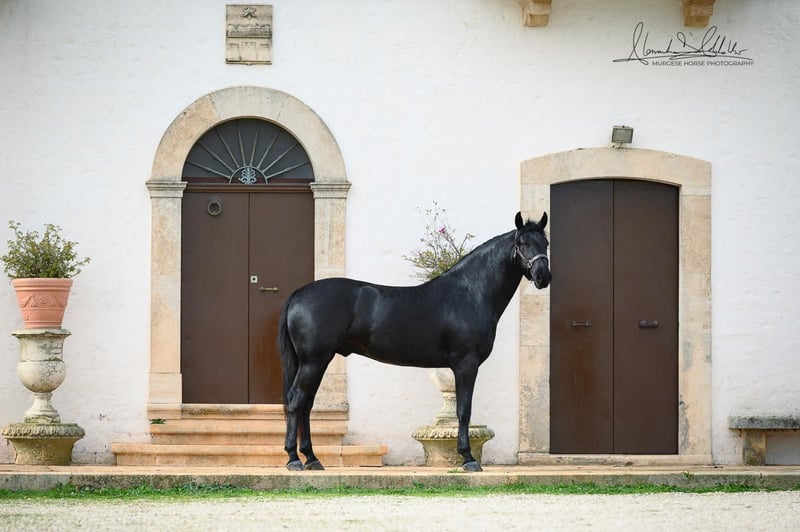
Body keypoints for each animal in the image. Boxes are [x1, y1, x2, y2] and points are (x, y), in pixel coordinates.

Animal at [279, 211, 551, 472]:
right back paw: (293, 459)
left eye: (545, 243)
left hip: (317, 361)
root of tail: (299, 294)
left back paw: (312, 459)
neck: (470, 293)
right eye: (522, 243)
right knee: (295, 401)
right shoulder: (466, 364)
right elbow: (464, 410)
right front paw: (468, 459)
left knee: (306, 404)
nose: (543, 277)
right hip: (313, 361)